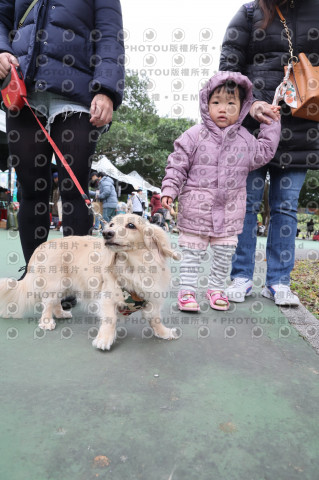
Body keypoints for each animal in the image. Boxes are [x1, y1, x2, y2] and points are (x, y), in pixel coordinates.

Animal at [0, 215, 179, 348]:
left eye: (131, 225)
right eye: (111, 224)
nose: (106, 233)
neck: (133, 266)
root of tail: (43, 245)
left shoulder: (152, 298)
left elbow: (155, 319)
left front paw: (163, 332)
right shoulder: (108, 298)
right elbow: (110, 320)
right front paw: (104, 339)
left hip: (65, 285)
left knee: (55, 302)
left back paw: (61, 313)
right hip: (55, 284)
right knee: (48, 303)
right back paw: (47, 321)